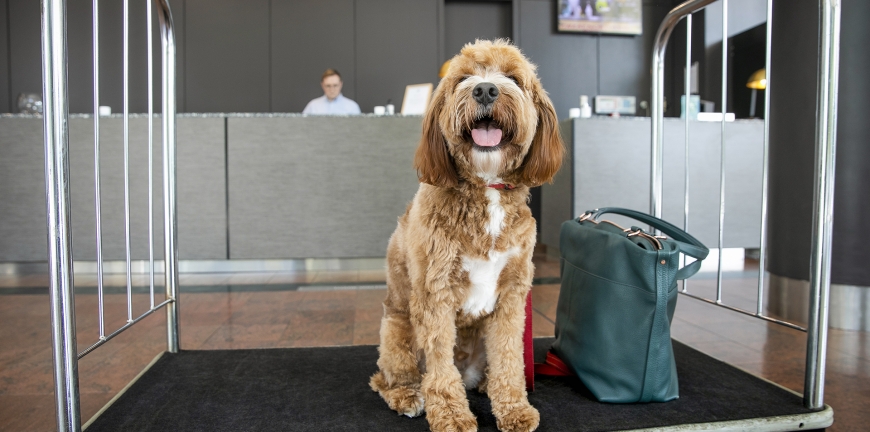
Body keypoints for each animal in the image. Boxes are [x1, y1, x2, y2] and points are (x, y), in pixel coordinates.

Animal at [370, 38, 564, 430]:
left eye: (513, 78)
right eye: (462, 78)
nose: (485, 89)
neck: (486, 187)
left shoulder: (513, 294)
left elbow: (510, 359)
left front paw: (513, 407)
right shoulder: (435, 292)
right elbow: (440, 367)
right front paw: (450, 414)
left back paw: (486, 384)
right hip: (397, 330)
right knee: (388, 377)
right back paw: (407, 395)